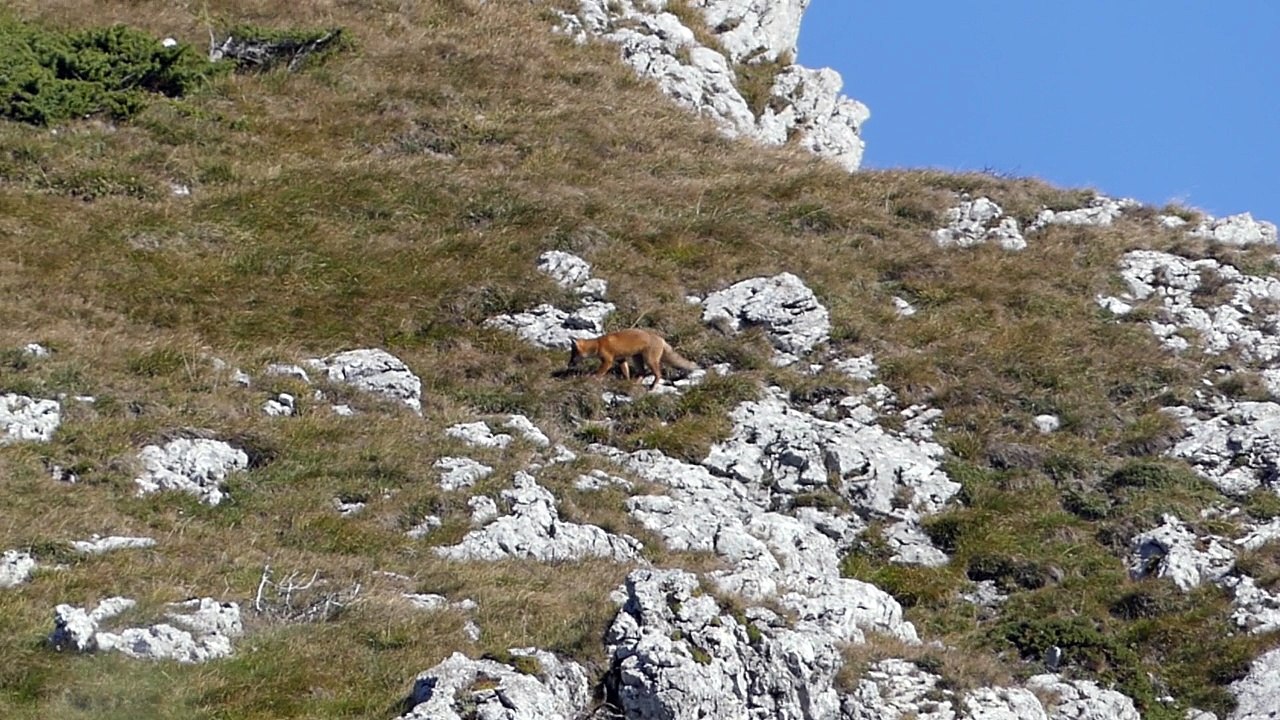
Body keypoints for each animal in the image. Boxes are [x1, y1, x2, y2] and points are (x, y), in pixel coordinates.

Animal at [568, 329, 697, 388]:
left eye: (573, 354)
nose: (569, 364)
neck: (598, 344)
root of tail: (661, 339)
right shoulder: (621, 359)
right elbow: (626, 372)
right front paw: (627, 381)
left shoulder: (608, 361)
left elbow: (599, 373)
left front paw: (591, 378)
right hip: (637, 359)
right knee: (642, 373)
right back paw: (636, 383)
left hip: (649, 360)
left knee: (658, 374)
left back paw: (652, 386)